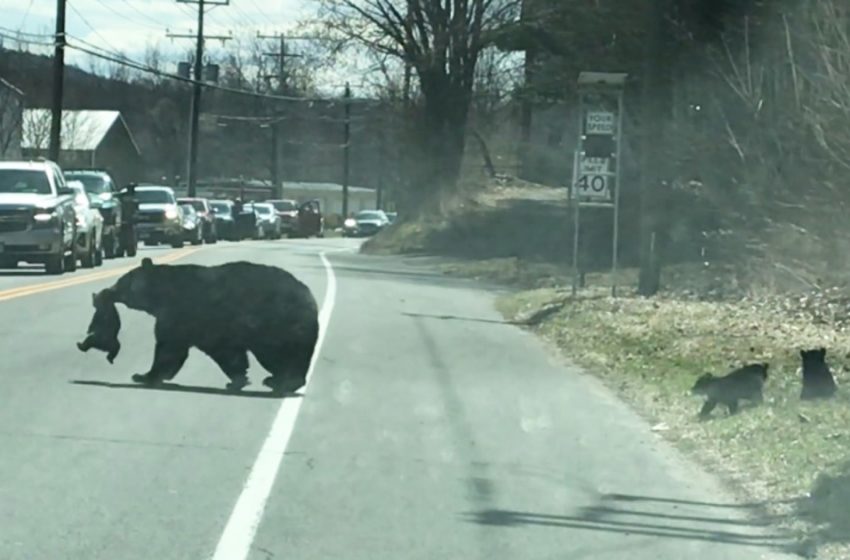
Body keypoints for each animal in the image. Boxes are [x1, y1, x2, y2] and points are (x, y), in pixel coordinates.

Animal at [99, 258, 318, 394]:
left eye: (121, 281)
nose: (106, 291)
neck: (164, 292)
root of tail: (310, 299)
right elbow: (227, 353)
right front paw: (237, 379)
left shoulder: (181, 314)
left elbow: (170, 348)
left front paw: (144, 376)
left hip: (276, 325)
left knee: (277, 354)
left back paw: (282, 381)